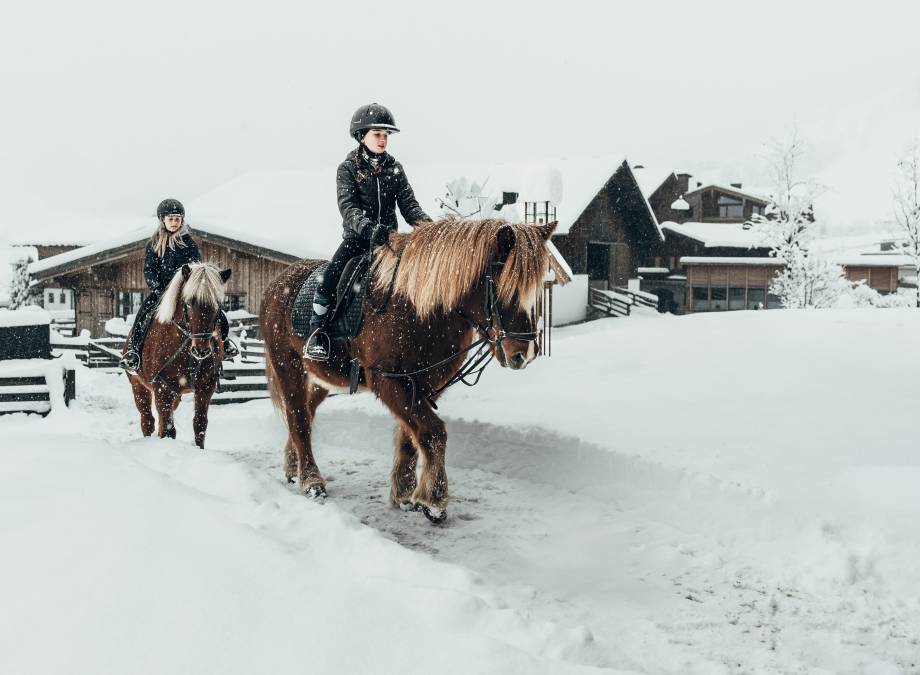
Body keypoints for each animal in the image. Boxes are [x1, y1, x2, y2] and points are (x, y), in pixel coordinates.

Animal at [127, 262, 232, 448]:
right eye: (189, 303)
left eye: (218, 304)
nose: (201, 350)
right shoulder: (162, 387)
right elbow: (168, 429)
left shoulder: (206, 386)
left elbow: (199, 424)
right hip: (138, 385)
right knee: (148, 420)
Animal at [262, 217, 556, 524]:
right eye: (502, 286)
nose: (523, 354)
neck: (417, 308)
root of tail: (276, 284)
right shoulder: (388, 382)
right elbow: (433, 432)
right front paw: (434, 500)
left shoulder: (426, 384)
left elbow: (411, 437)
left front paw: (404, 492)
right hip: (289, 366)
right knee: (298, 417)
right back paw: (311, 480)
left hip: (320, 378)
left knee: (305, 414)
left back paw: (293, 467)